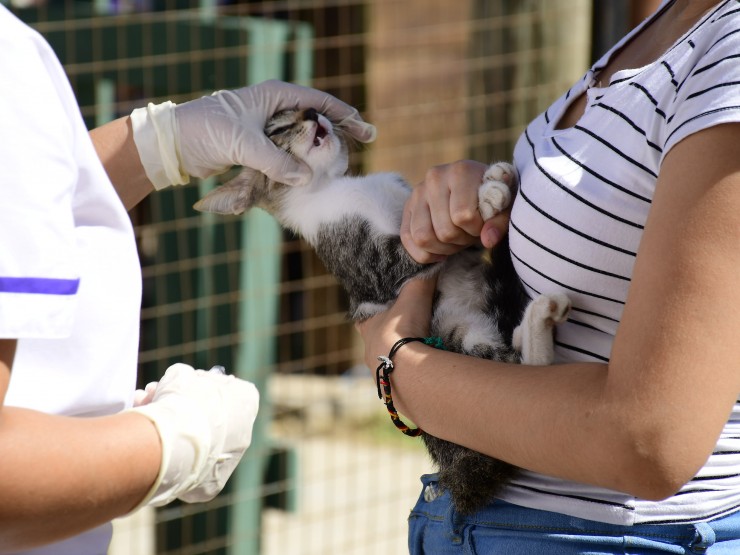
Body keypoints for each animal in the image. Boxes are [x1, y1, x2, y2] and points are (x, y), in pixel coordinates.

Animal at [193, 107, 570, 515]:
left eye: (306, 112)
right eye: (278, 128)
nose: (312, 110)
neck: (334, 187)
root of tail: (457, 468)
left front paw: (487, 183)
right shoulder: (375, 267)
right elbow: (415, 250)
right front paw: (487, 196)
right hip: (458, 335)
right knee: (520, 368)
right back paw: (543, 315)